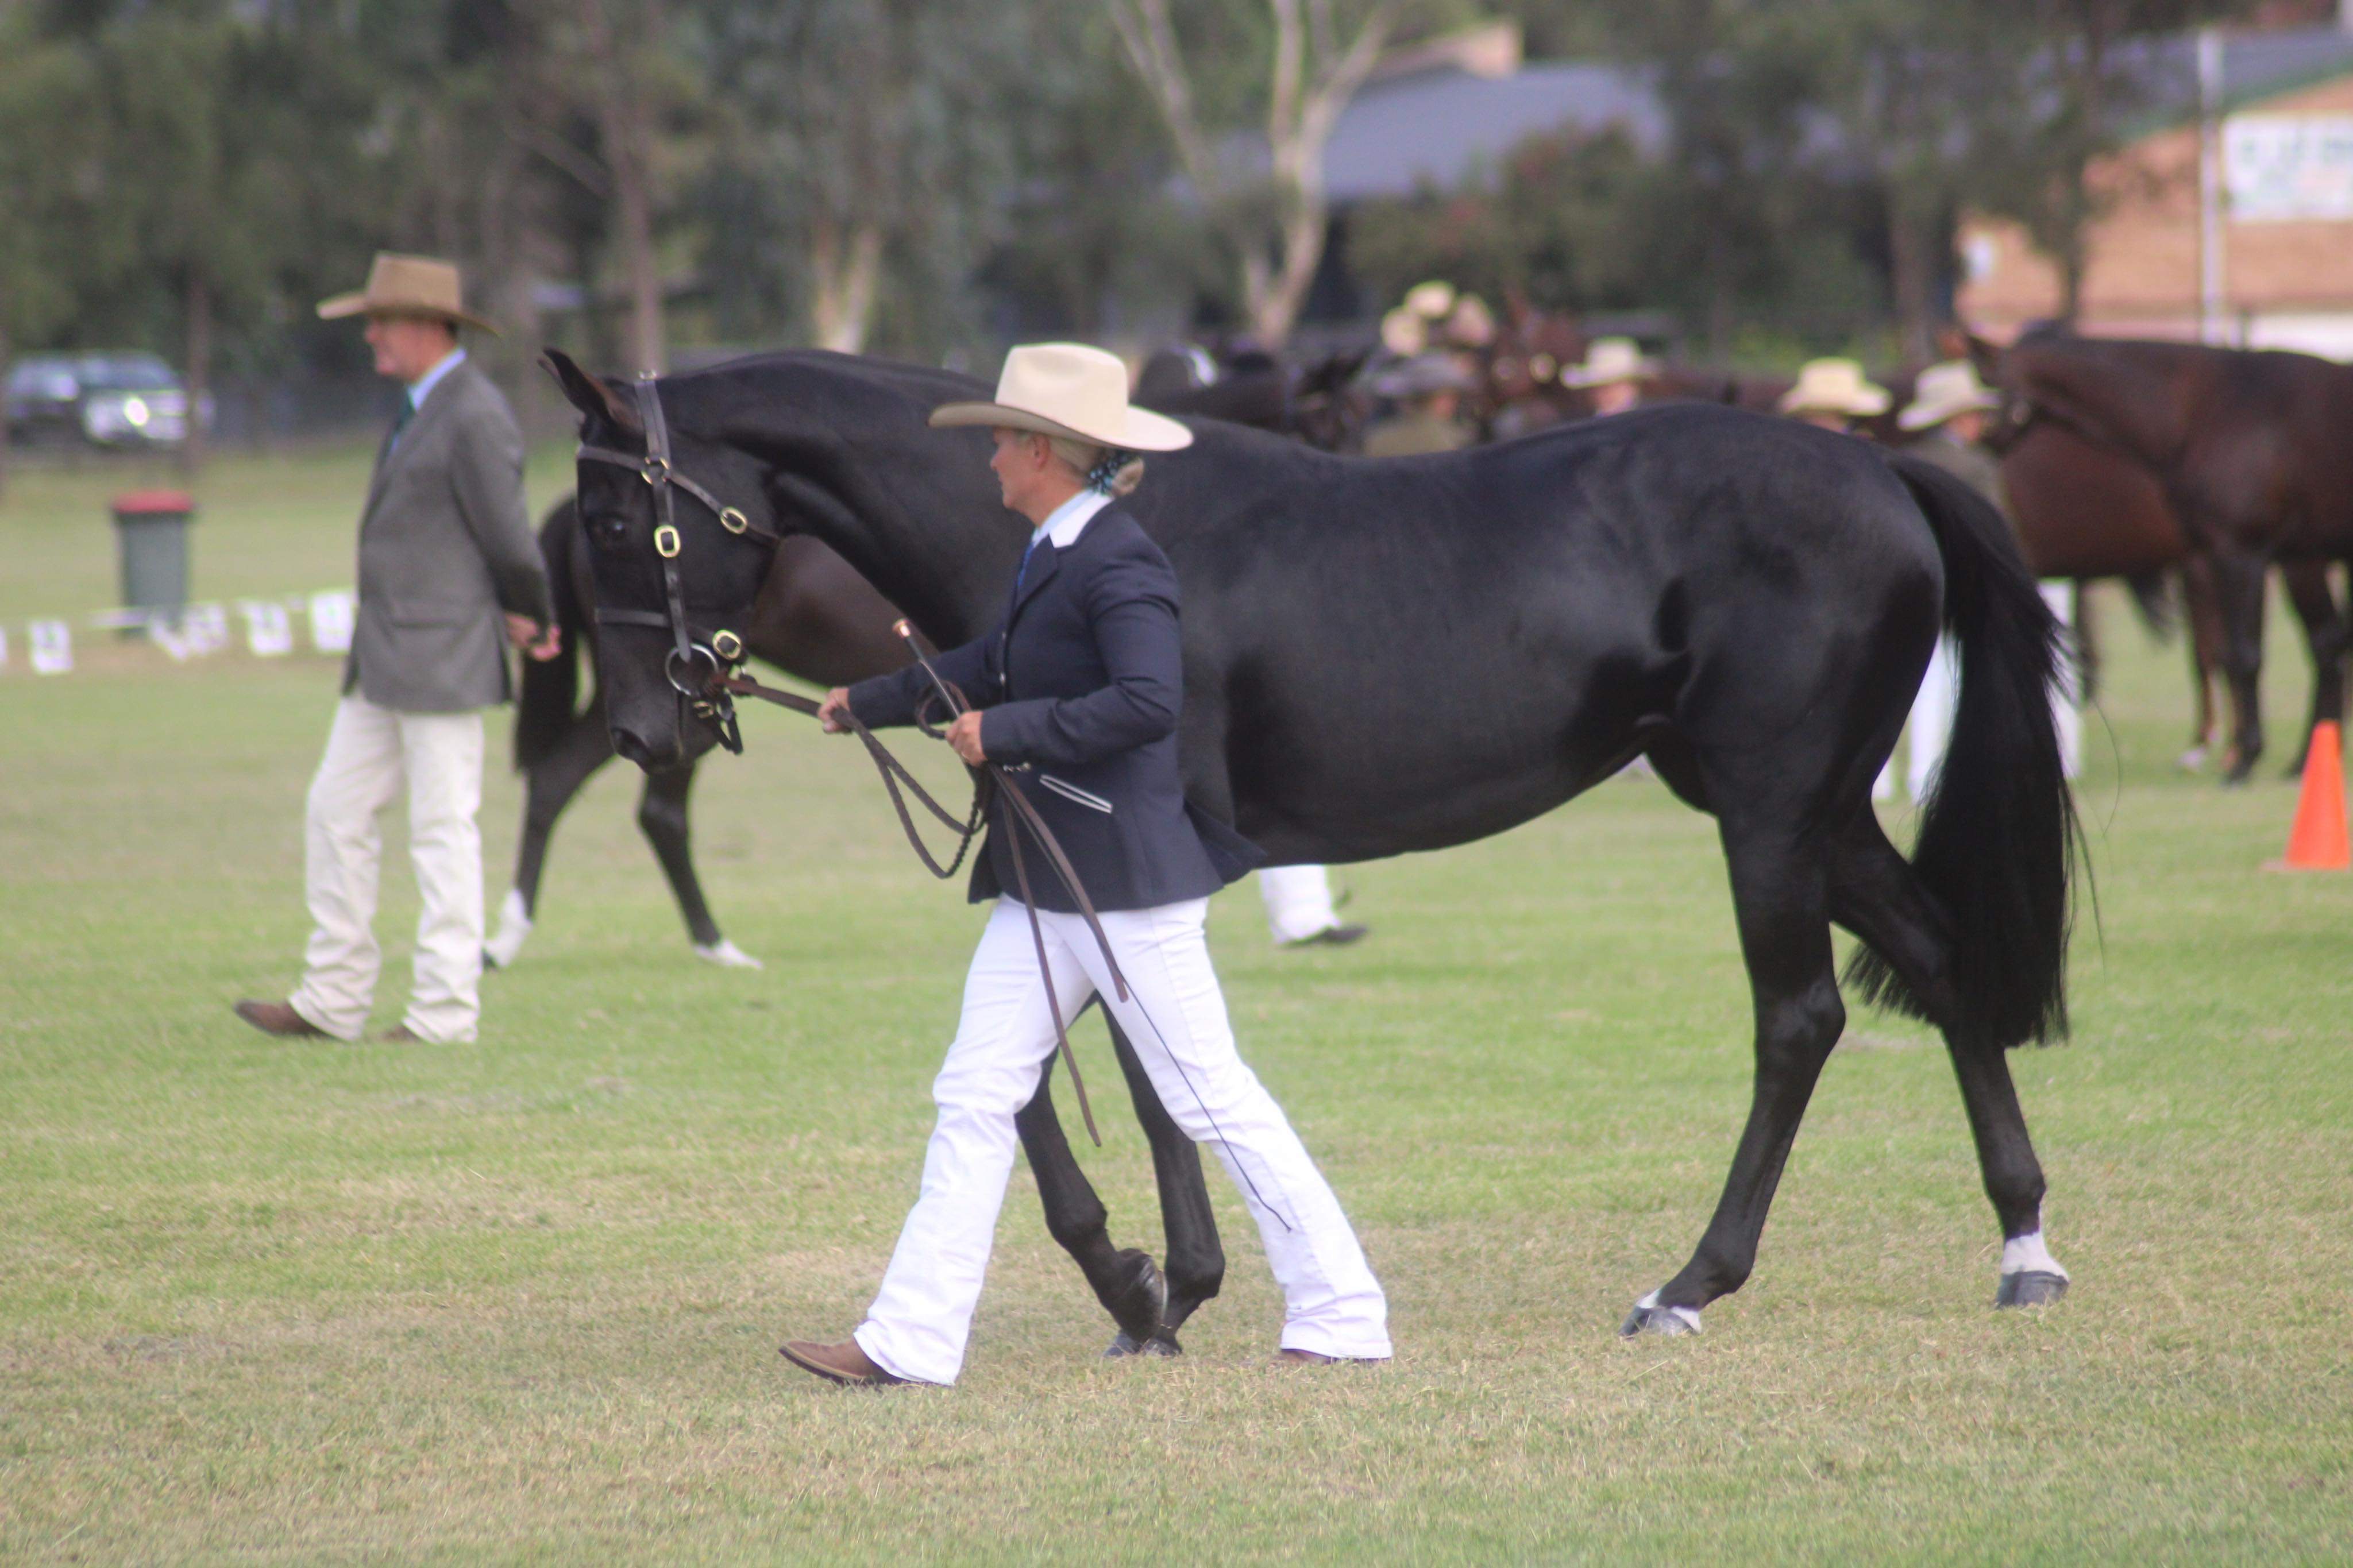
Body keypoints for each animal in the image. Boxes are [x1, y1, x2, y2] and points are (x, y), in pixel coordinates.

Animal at [542, 345, 2079, 1347]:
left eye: (617, 518)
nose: (642, 727)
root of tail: (1882, 470)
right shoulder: (1073, 861)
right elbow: (1061, 1075)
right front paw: (1149, 1281)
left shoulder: (1124, 858)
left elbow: (1137, 1076)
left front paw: (1156, 1286)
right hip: (1805, 814)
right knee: (1940, 960)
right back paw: (2022, 1246)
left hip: (1768, 815)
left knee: (1800, 1017)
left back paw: (1688, 1284)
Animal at [1977, 327, 2353, 781]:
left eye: (1989, 387)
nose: (1980, 448)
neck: (2209, 410)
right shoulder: (2223, 556)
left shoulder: (2238, 554)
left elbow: (2243, 655)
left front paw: (2243, 760)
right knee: (2329, 646)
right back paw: (2306, 760)